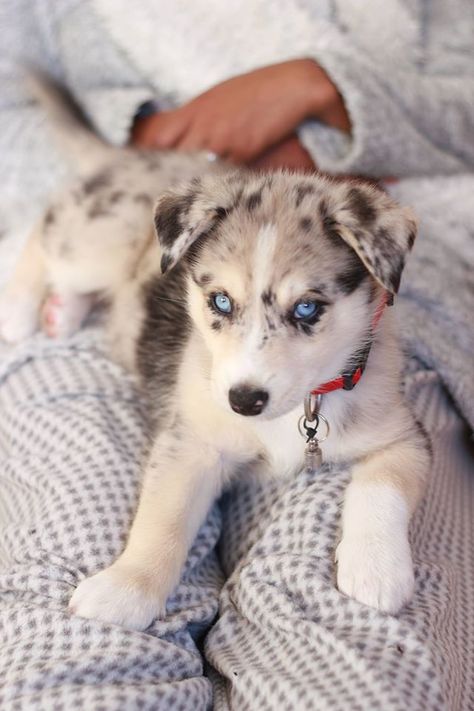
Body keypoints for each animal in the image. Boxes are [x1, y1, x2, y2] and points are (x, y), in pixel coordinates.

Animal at [0, 71, 430, 628]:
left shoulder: (405, 435)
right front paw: (124, 588)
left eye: (308, 309)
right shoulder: (192, 444)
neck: (299, 411)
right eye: (220, 301)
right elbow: (163, 521)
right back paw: (18, 309)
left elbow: (383, 487)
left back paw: (61, 314)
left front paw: (377, 570)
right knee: (42, 236)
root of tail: (133, 157)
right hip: (91, 245)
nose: (243, 401)